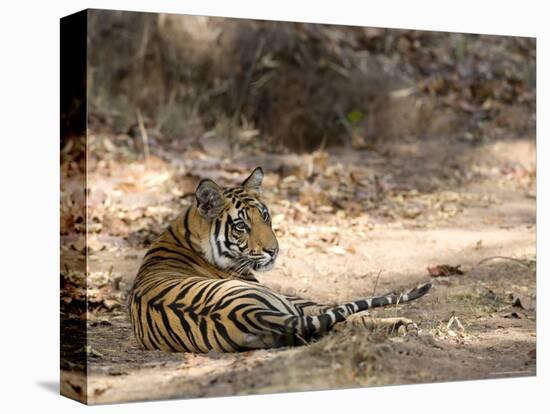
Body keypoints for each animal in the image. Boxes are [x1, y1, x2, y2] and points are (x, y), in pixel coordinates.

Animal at [130, 167, 436, 352]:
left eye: (264, 216)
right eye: (241, 226)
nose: (273, 250)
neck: (185, 232)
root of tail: (249, 313)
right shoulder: (300, 300)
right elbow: (343, 309)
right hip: (288, 305)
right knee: (340, 320)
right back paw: (402, 325)